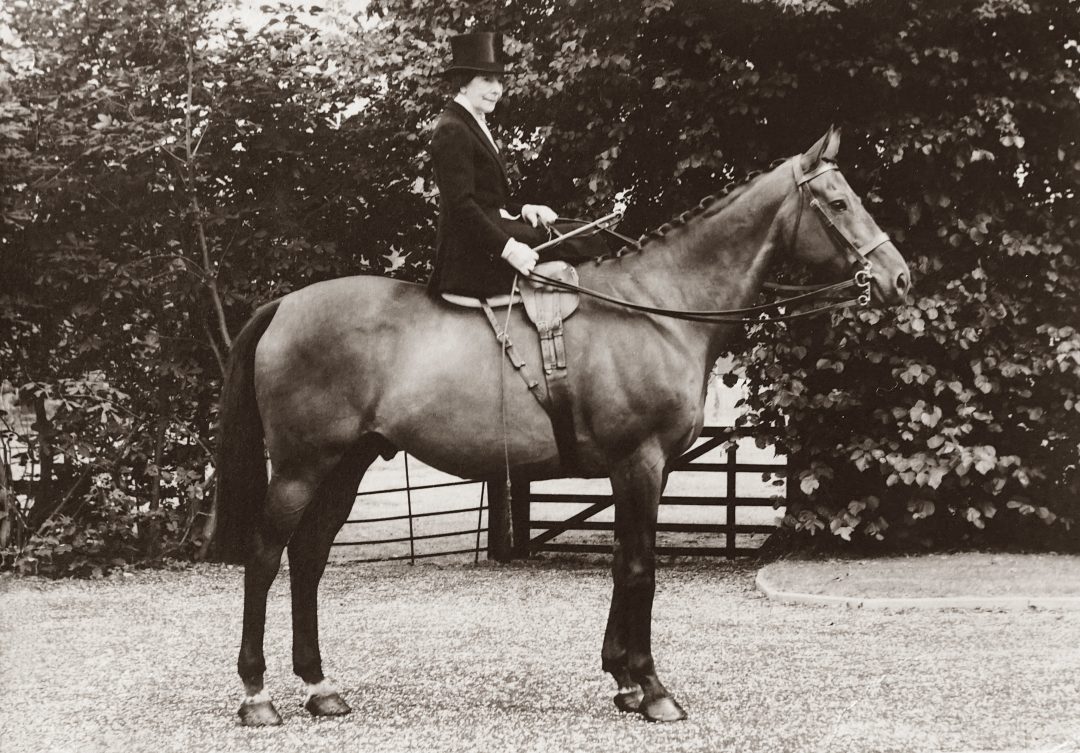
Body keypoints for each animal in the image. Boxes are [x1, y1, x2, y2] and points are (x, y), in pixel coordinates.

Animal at [206, 127, 911, 725]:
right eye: (838, 202)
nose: (898, 278)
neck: (655, 308)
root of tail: (283, 305)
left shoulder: (637, 471)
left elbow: (624, 563)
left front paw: (623, 679)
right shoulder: (640, 463)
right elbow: (640, 567)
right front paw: (651, 688)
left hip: (348, 463)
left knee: (309, 557)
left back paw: (320, 687)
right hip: (301, 467)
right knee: (266, 558)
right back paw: (256, 695)